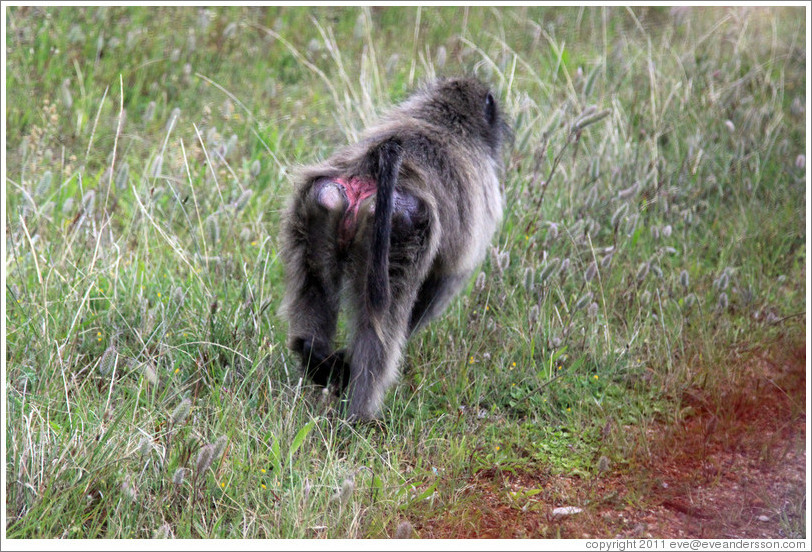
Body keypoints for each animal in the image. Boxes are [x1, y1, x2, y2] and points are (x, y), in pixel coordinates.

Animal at [279, 77, 512, 421]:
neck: (443, 118)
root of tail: (368, 170)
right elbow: (440, 288)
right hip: (400, 230)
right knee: (379, 329)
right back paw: (358, 415)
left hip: (318, 204)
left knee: (314, 287)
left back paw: (319, 361)